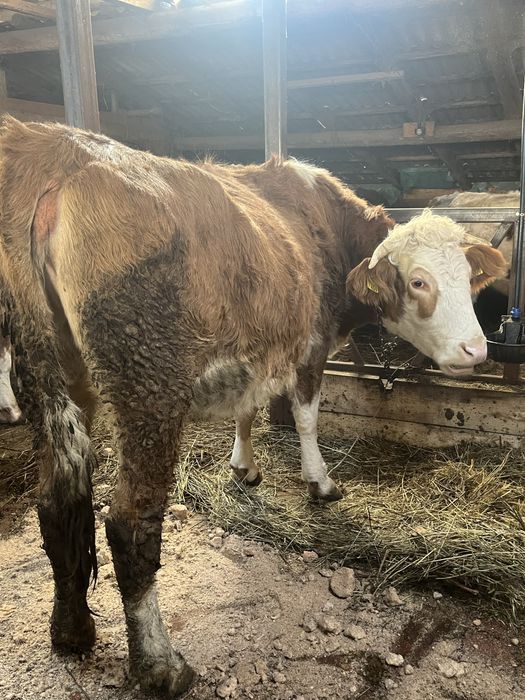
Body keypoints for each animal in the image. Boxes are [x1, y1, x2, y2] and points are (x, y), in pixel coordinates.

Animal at [0, 117, 507, 698]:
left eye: (469, 279)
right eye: (419, 281)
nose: (476, 350)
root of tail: (54, 148)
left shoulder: (259, 347)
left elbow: (248, 410)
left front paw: (243, 467)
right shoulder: (310, 345)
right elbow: (305, 416)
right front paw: (320, 483)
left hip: (49, 372)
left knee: (57, 497)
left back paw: (71, 631)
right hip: (148, 386)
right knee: (128, 520)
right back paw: (160, 665)